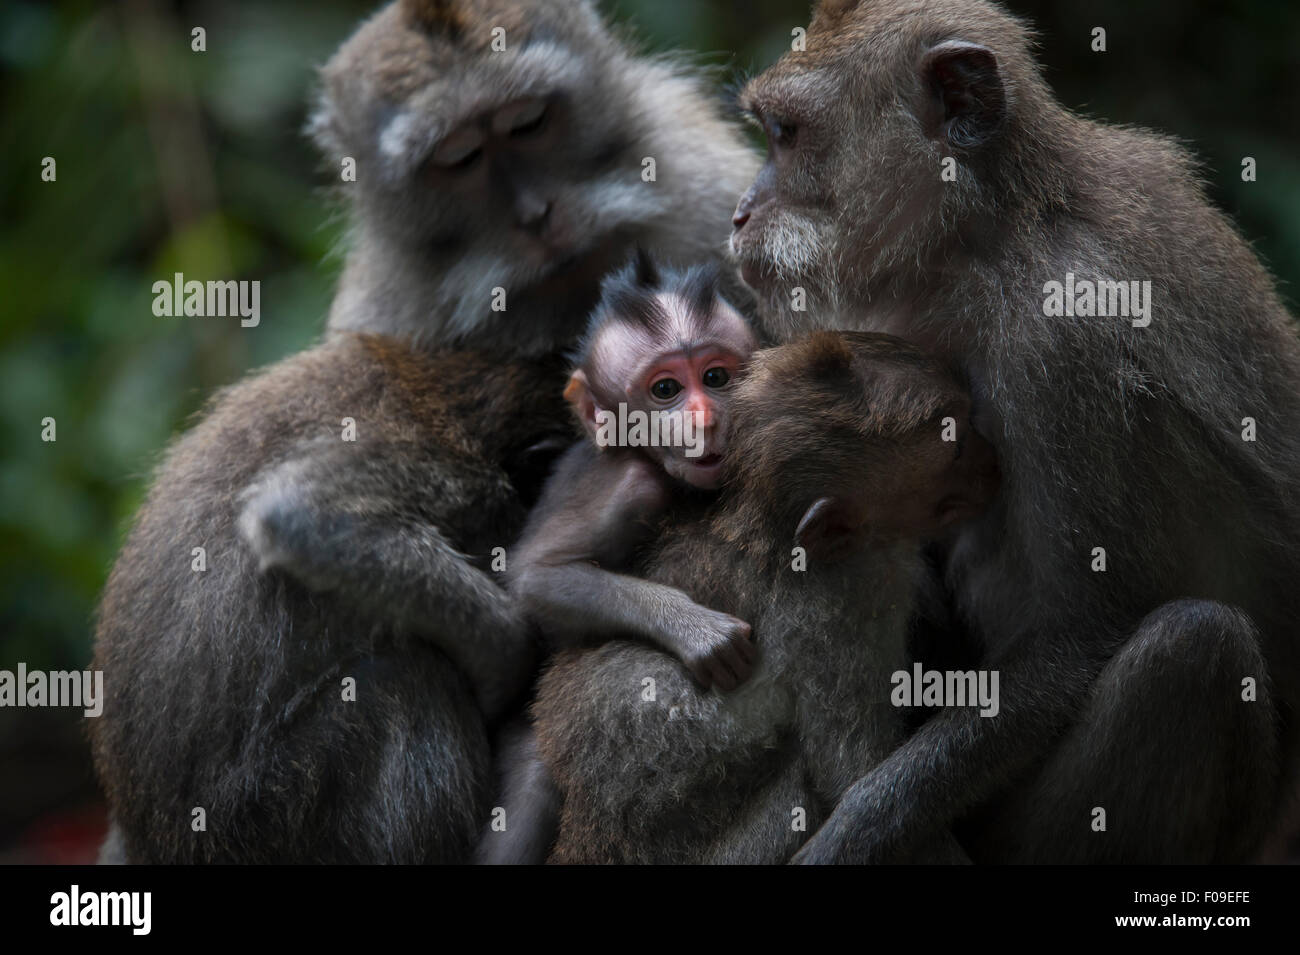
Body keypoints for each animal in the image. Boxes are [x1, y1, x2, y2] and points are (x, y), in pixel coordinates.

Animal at [478, 250, 759, 862]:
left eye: (716, 378)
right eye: (665, 390)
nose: (704, 418)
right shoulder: (627, 482)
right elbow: (537, 579)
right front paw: (694, 629)